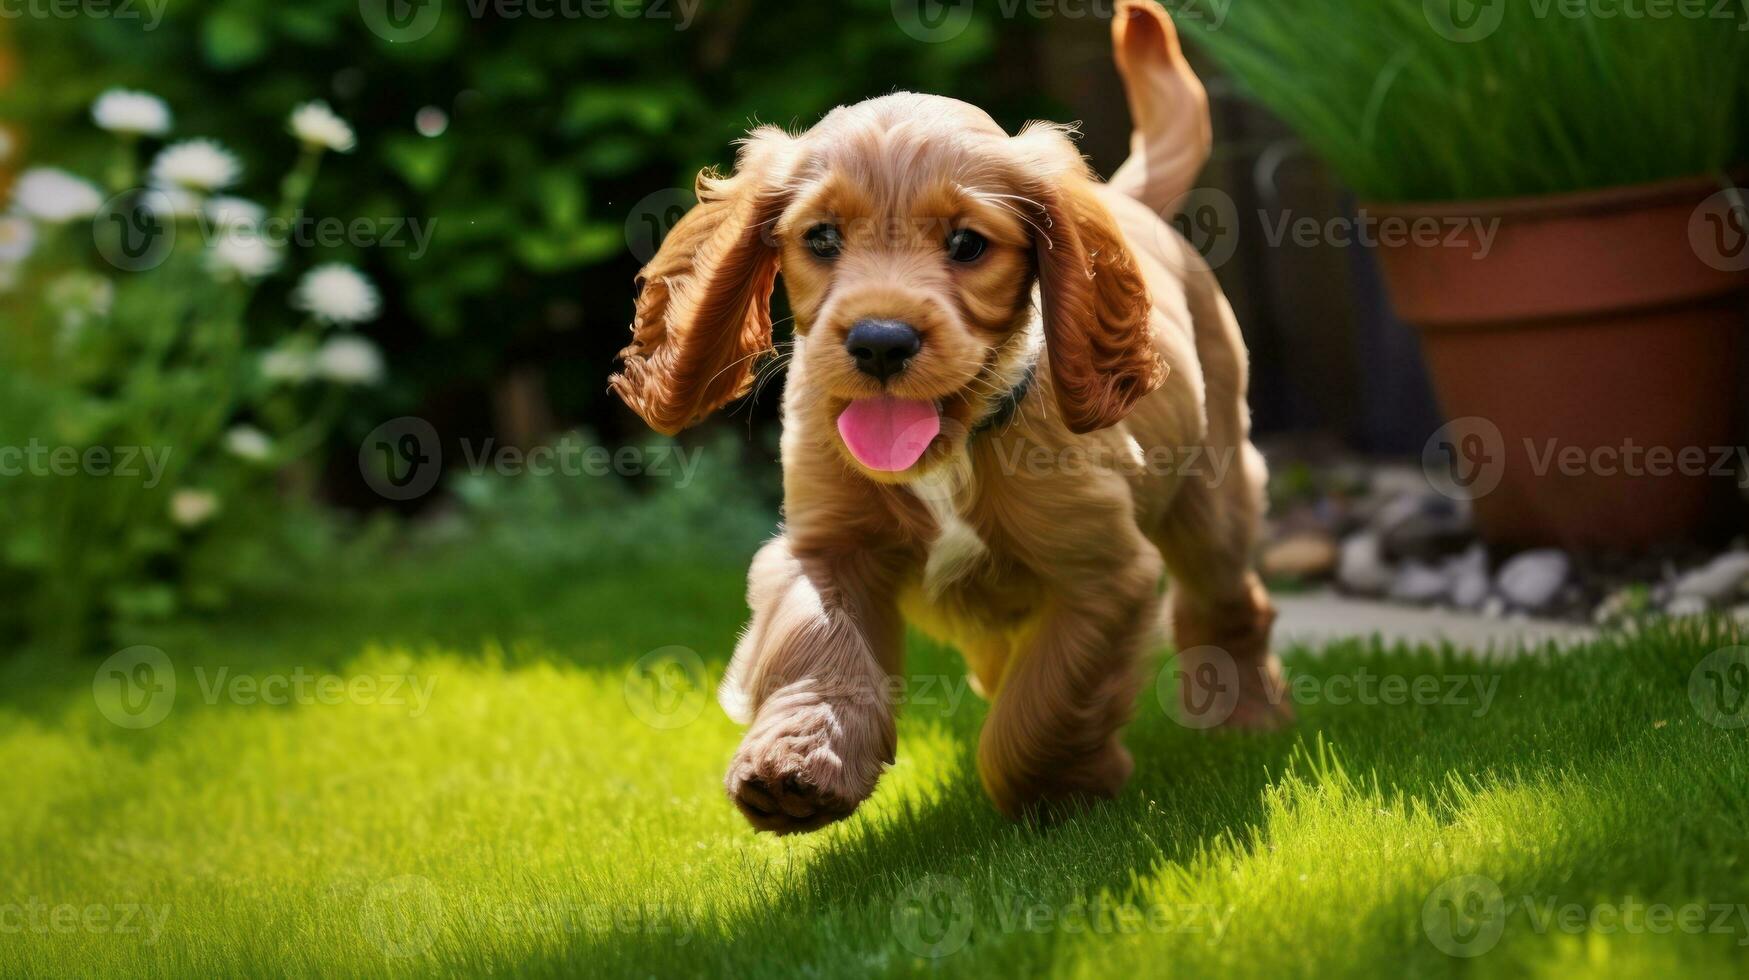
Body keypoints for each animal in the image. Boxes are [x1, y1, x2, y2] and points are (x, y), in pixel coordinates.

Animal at [612, 3, 1287, 833]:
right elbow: (818, 645)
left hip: (1209, 497)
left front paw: (1057, 786)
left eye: (967, 244)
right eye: (821, 238)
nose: (879, 341)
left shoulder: (1101, 575)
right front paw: (796, 763)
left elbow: (1045, 700)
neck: (949, 447)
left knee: (1227, 603)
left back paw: (1246, 714)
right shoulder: (824, 544)